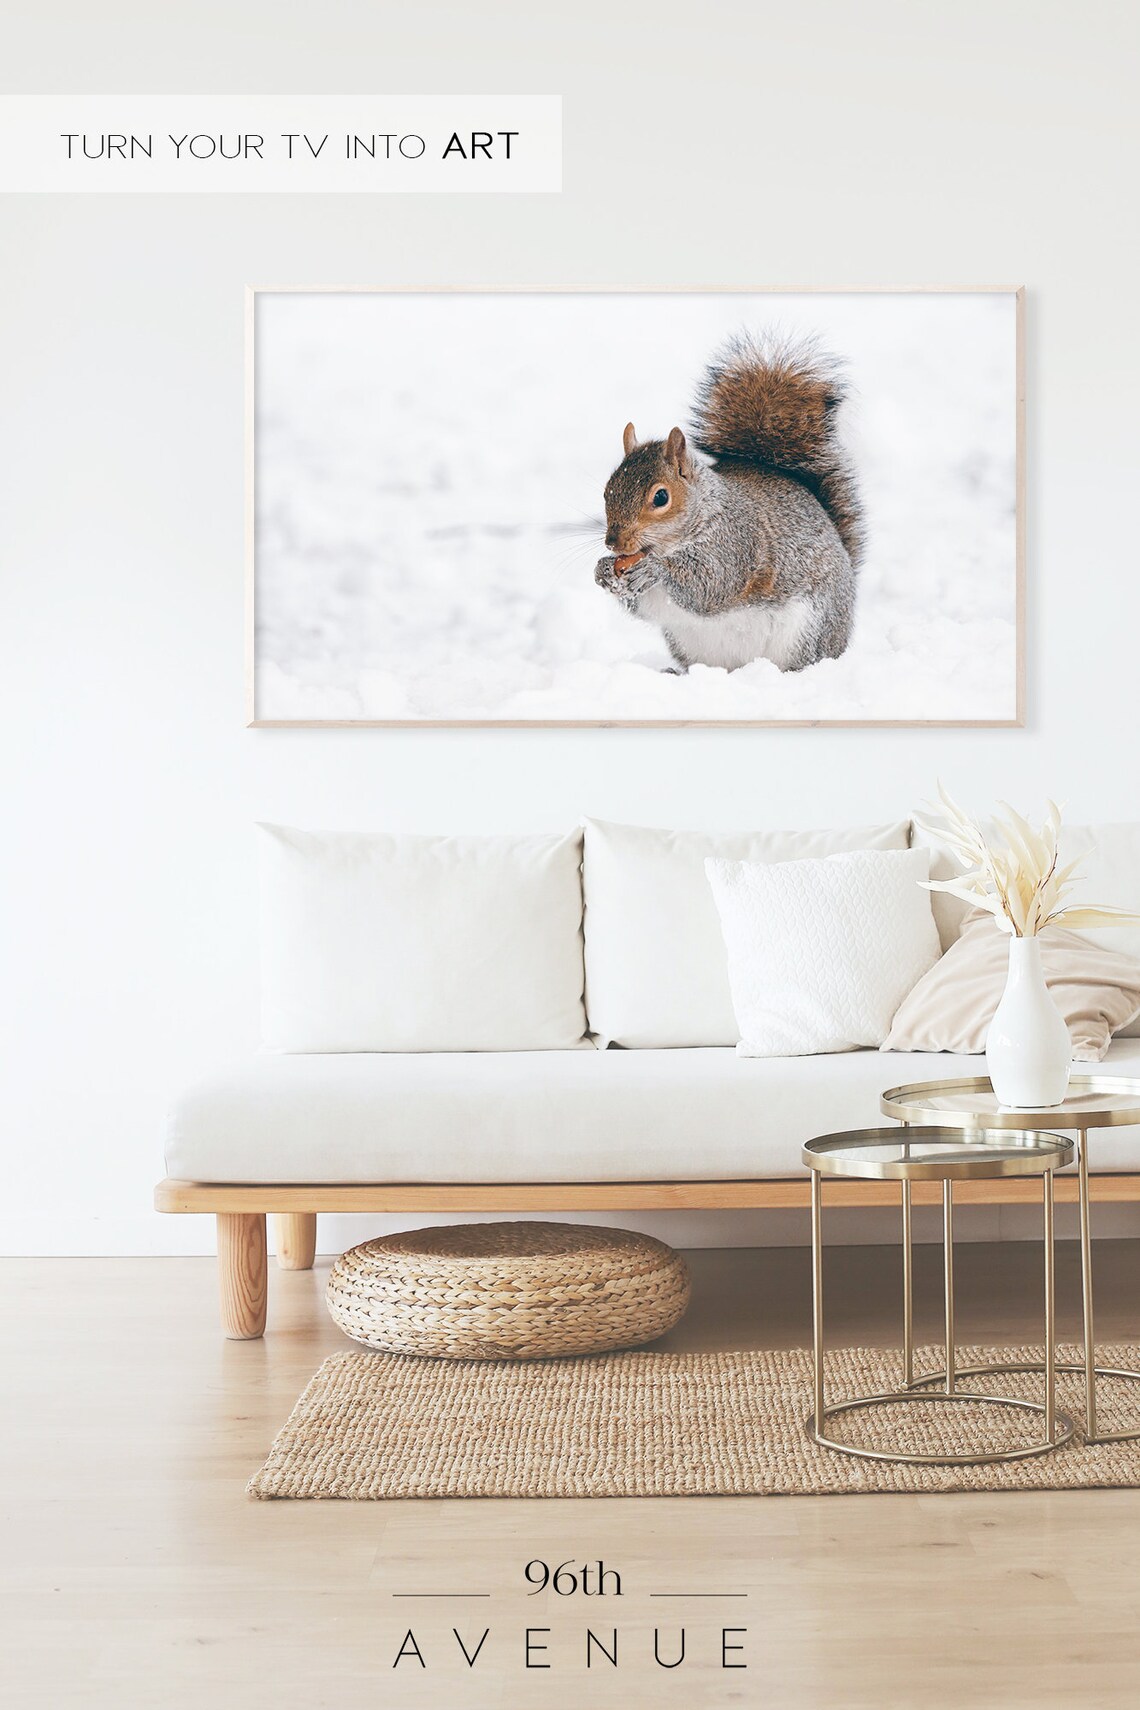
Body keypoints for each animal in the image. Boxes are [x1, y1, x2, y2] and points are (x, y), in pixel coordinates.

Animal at [594, 333, 864, 673]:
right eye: (607, 491)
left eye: (661, 497)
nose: (613, 543)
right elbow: (644, 606)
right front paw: (603, 570)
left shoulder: (734, 542)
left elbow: (710, 583)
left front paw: (656, 569)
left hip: (809, 631)